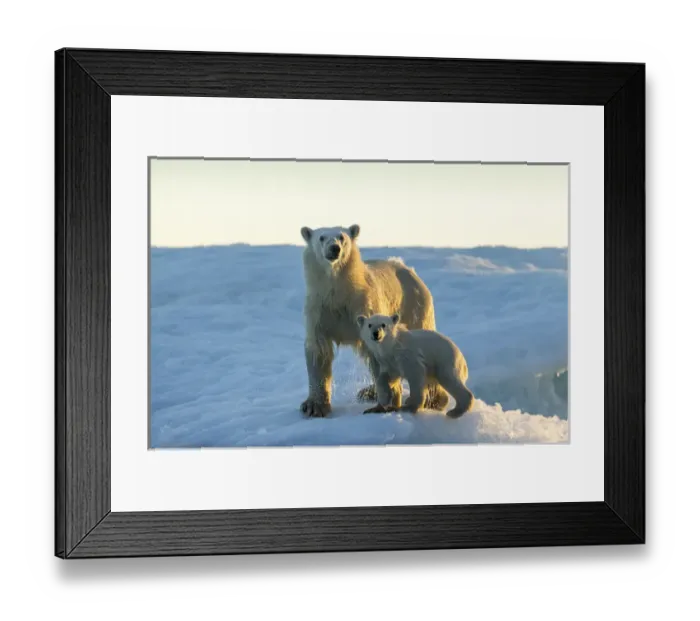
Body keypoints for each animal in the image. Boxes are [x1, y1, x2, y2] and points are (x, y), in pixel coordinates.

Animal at [299, 224, 449, 418]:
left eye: (342, 237)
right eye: (322, 237)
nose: (334, 248)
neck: (339, 293)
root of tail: (406, 267)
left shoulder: (365, 306)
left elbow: (379, 351)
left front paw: (387, 403)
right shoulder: (320, 310)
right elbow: (319, 351)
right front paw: (313, 406)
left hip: (414, 306)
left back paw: (434, 399)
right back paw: (368, 392)